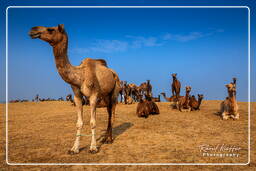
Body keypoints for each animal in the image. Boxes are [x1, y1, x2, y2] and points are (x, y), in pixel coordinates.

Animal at [28, 24, 120, 154]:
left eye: (51, 29)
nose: (33, 30)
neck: (80, 76)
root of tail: (113, 72)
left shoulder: (93, 96)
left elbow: (92, 122)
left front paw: (93, 148)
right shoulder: (77, 95)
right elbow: (79, 123)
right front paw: (74, 148)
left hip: (115, 91)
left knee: (112, 113)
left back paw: (109, 139)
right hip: (106, 96)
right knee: (109, 112)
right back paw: (105, 138)